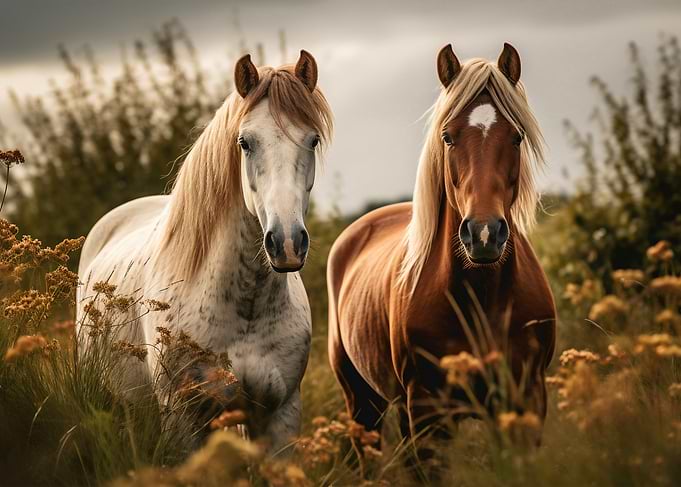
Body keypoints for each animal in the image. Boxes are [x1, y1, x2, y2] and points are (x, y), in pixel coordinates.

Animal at [77, 50, 333, 453]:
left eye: (313, 140)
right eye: (245, 142)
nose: (287, 243)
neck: (246, 309)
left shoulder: (280, 413)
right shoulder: (181, 417)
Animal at [327, 43, 556, 462]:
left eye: (516, 137)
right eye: (448, 137)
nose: (484, 233)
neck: (483, 300)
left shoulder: (527, 402)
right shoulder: (428, 413)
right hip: (363, 402)